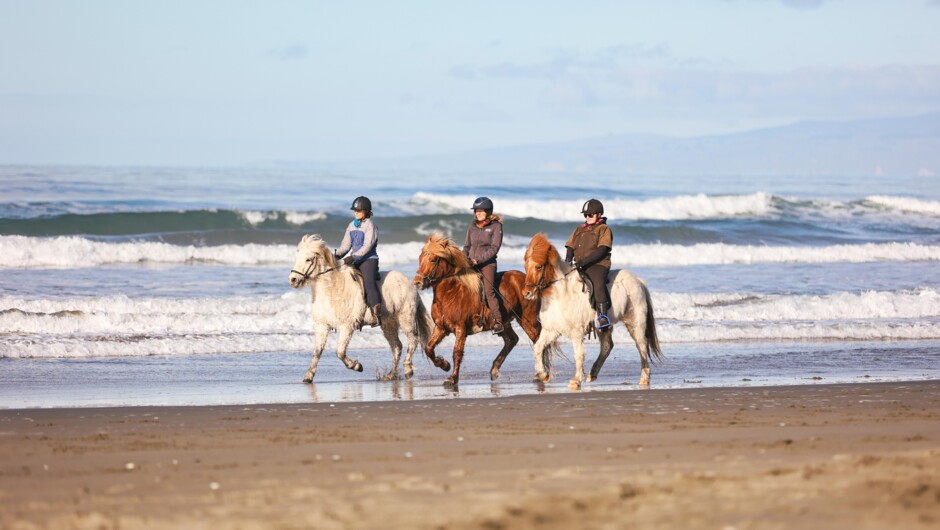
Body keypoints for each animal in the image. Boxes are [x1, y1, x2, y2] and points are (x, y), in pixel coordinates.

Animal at [286, 233, 436, 382]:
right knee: (397, 346)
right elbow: (317, 352)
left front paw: (357, 366)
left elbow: (340, 352)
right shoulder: (322, 326)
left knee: (412, 340)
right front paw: (308, 376)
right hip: (388, 324)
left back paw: (408, 369)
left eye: (308, 259)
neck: (332, 289)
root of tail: (411, 283)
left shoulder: (347, 326)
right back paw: (391, 375)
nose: (293, 280)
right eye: (297, 258)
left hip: (406, 319)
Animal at [414, 233, 552, 386]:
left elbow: (457, 352)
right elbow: (429, 348)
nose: (417, 282)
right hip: (504, 322)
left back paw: (540, 374)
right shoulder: (441, 327)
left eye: (433, 260)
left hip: (528, 320)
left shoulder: (461, 328)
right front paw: (444, 365)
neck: (450, 293)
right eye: (420, 258)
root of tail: (530, 283)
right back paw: (495, 369)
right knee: (512, 339)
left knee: (538, 341)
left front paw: (452, 378)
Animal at [520, 231, 660, 388]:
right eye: (526, 266)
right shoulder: (551, 330)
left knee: (642, 345)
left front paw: (576, 380)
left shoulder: (576, 332)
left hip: (635, 322)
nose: (527, 293)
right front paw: (543, 375)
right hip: (604, 326)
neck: (560, 294)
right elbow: (538, 348)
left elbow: (578, 354)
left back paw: (644, 378)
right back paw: (593, 373)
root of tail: (638, 281)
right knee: (607, 346)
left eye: (538, 267)